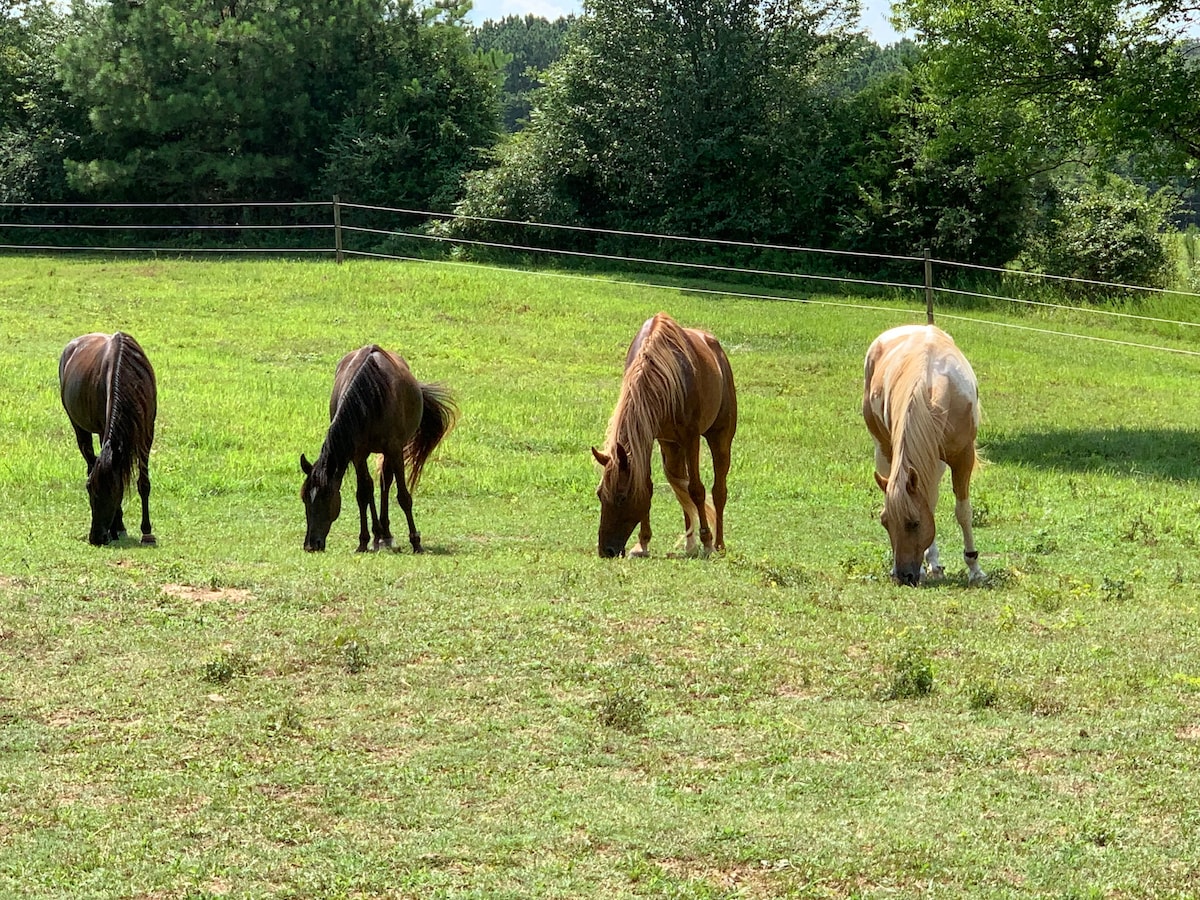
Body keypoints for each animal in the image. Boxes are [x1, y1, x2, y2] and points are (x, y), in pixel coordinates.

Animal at [58, 328, 158, 542]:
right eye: (89, 488)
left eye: (114, 490)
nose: (96, 537)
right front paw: (118, 527)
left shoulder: (147, 434)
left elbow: (144, 483)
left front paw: (147, 532)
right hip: (79, 427)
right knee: (89, 461)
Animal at [297, 348, 456, 554]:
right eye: (304, 499)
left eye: (325, 497)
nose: (311, 545)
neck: (370, 396)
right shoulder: (358, 453)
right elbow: (363, 493)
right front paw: (363, 541)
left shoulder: (394, 449)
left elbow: (403, 496)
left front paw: (416, 542)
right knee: (373, 485)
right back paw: (378, 536)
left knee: (385, 482)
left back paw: (386, 536)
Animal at [588, 314, 729, 561]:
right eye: (599, 494)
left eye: (622, 497)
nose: (607, 550)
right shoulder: (650, 436)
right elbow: (648, 486)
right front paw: (642, 543)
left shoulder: (691, 437)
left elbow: (697, 490)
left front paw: (707, 542)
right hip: (672, 447)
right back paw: (690, 545)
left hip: (721, 437)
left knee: (718, 491)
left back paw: (718, 544)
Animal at [864, 321, 984, 585]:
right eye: (885, 522)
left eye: (914, 523)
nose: (903, 576)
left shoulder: (964, 457)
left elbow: (963, 512)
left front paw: (974, 568)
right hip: (884, 450)